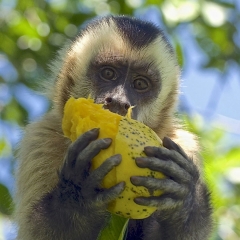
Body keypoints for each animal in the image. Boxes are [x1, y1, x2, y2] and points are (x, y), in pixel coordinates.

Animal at [15, 15, 212, 239]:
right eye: (109, 73)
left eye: (140, 84)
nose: (118, 101)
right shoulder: (41, 138)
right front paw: (78, 192)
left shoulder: (182, 144)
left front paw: (184, 199)